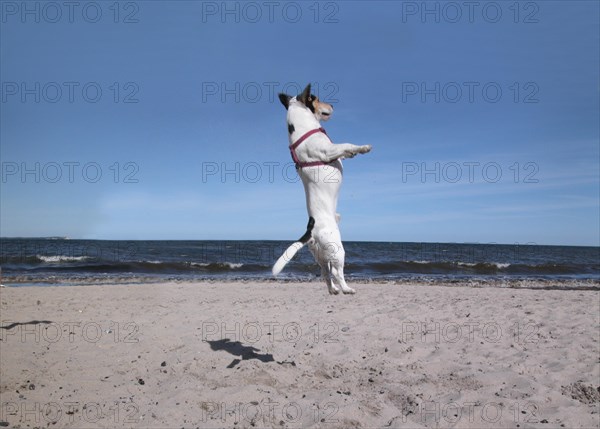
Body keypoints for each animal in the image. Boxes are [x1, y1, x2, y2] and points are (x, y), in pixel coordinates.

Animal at [272, 83, 370, 294]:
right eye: (315, 98)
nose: (332, 105)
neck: (303, 128)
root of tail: (311, 229)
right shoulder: (328, 151)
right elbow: (347, 144)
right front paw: (363, 148)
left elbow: (346, 151)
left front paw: (353, 153)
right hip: (337, 249)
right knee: (337, 273)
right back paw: (346, 289)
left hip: (321, 255)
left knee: (326, 274)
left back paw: (333, 290)